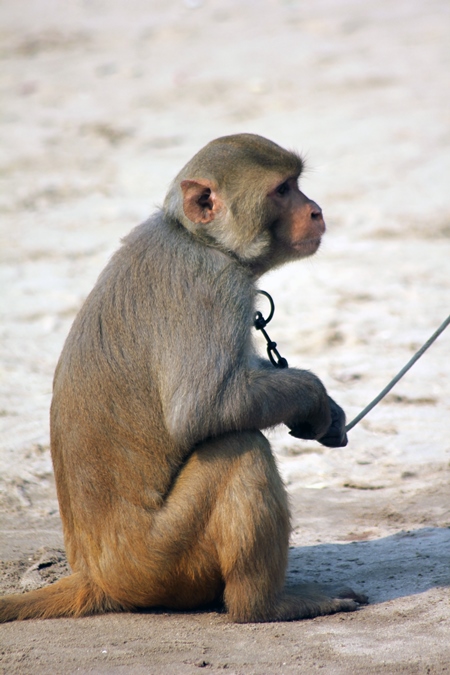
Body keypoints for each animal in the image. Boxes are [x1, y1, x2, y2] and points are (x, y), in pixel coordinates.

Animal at [0, 135, 366, 624]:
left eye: (297, 184)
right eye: (283, 190)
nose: (316, 211)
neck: (195, 238)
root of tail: (97, 577)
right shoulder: (213, 284)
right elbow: (206, 409)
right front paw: (316, 398)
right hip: (163, 560)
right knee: (239, 446)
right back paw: (264, 605)